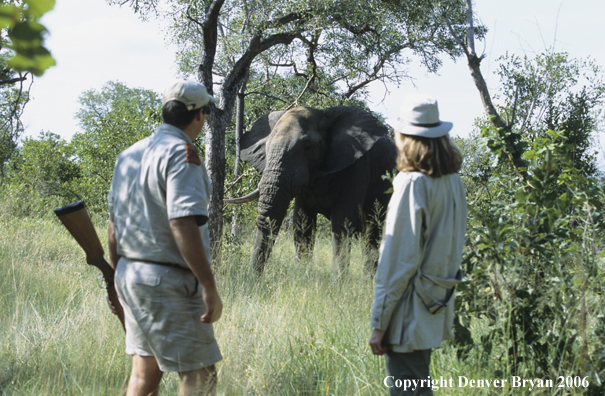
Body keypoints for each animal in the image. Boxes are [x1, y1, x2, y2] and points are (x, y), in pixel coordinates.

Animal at [225, 105, 396, 274]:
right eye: (266, 148)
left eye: (308, 147)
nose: (252, 278)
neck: (322, 114)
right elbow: (302, 224)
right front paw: (303, 274)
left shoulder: (357, 167)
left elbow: (342, 223)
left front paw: (336, 280)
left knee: (372, 236)